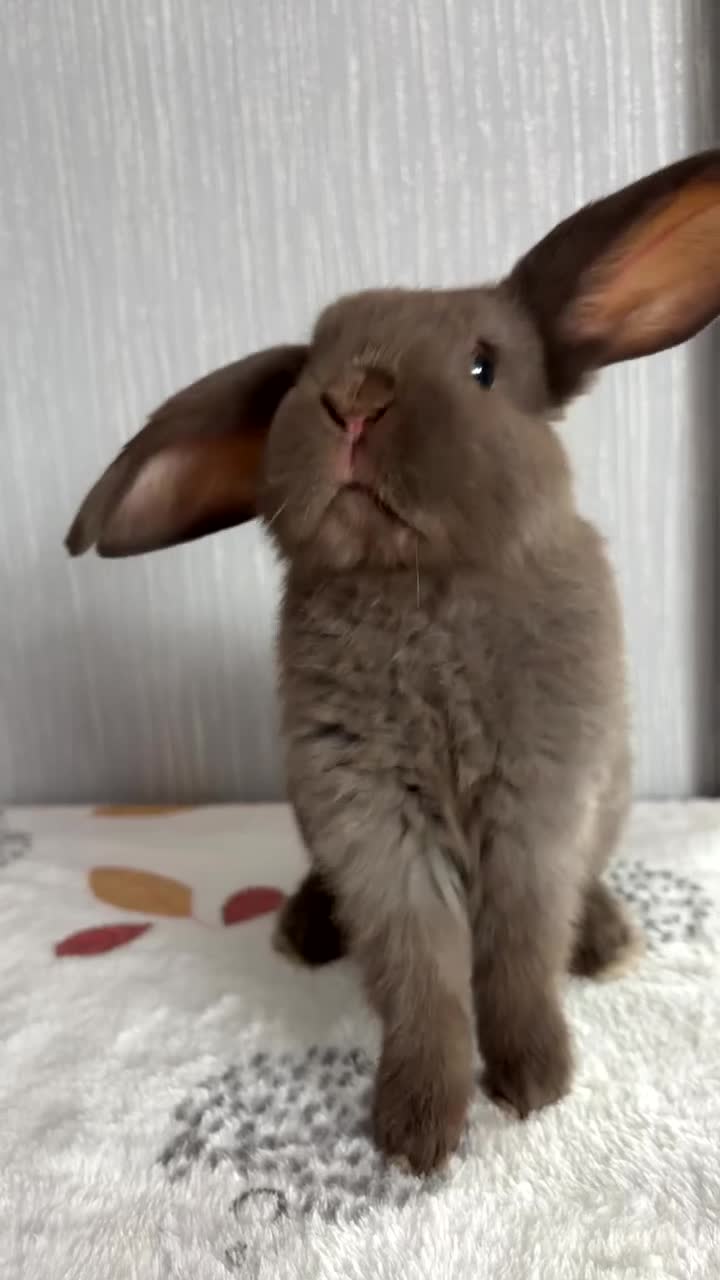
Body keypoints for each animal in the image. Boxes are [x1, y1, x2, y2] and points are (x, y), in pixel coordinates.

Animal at [66, 151, 720, 1174]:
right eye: (307, 369)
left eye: (484, 367)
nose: (354, 398)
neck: (420, 587)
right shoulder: (369, 818)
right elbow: (421, 971)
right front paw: (417, 1129)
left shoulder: (538, 804)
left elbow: (520, 947)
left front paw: (534, 1079)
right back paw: (303, 926)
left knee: (585, 891)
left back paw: (608, 938)